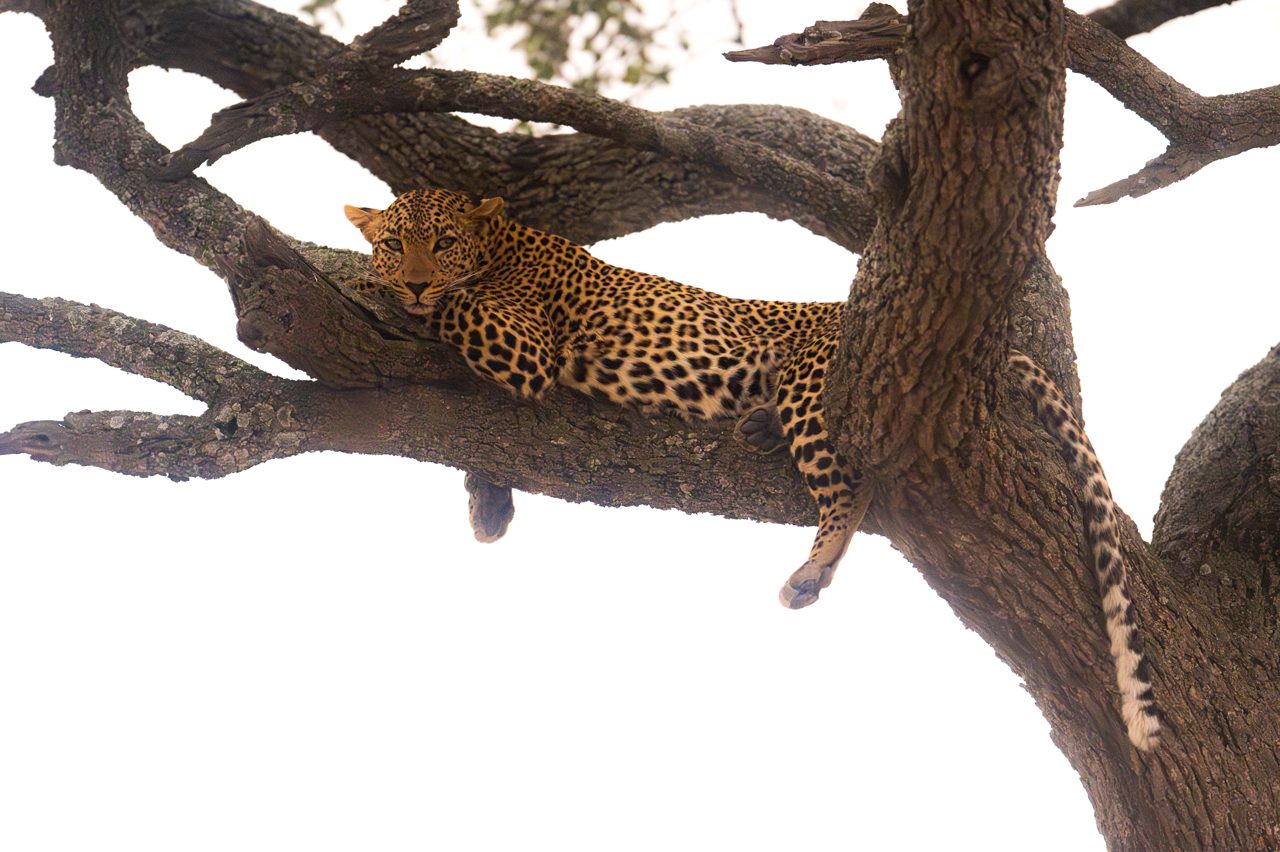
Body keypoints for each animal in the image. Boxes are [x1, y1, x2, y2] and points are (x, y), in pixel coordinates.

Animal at [345, 187, 1161, 751]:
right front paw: (488, 505)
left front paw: (384, 290)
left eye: (442, 242)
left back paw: (812, 568)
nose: (410, 278)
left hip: (812, 384)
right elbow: (487, 447)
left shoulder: (525, 347)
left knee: (852, 487)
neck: (501, 246)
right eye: (397, 242)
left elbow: (456, 309)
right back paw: (758, 431)